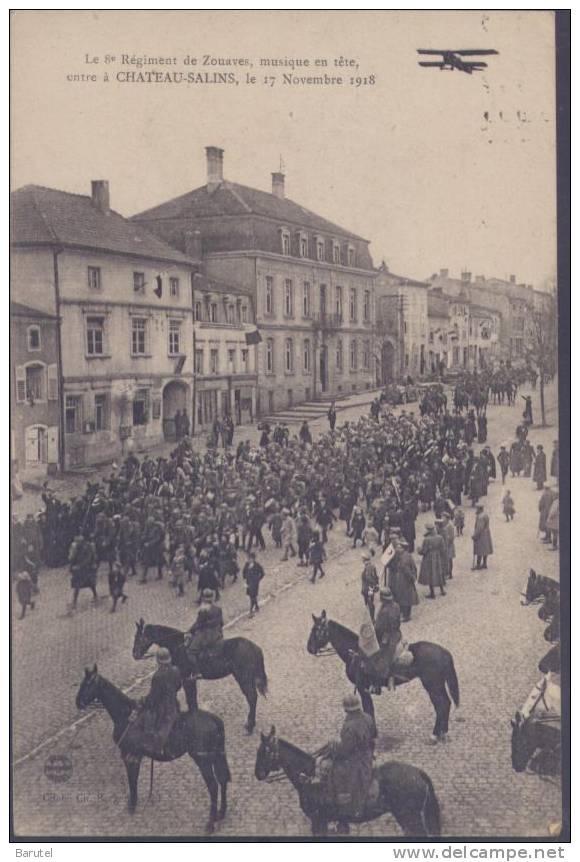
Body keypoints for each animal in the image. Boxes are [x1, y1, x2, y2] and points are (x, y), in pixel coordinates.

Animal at [75, 664, 231, 832]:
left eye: (87, 684)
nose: (78, 703)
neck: (126, 716)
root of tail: (214, 719)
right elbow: (134, 779)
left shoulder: (128, 755)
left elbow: (132, 780)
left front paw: (132, 805)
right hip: (216, 755)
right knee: (222, 780)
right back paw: (221, 814)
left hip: (203, 760)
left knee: (213, 786)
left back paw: (210, 823)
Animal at [133, 620, 268, 736]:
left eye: (139, 637)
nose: (134, 654)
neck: (178, 646)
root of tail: (254, 647)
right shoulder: (189, 681)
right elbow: (193, 700)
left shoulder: (186, 681)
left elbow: (191, 701)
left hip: (243, 678)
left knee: (252, 698)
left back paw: (249, 727)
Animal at [254, 724, 440, 840]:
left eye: (265, 751)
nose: (258, 774)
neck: (309, 777)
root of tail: (419, 773)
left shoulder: (318, 821)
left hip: (409, 817)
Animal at [306, 616, 460, 744]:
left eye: (316, 630)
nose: (309, 648)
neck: (354, 654)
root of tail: (444, 652)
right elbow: (369, 709)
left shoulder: (362, 688)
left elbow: (368, 709)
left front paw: (372, 734)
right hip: (436, 686)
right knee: (445, 704)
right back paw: (442, 733)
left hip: (433, 686)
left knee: (442, 705)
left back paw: (435, 734)